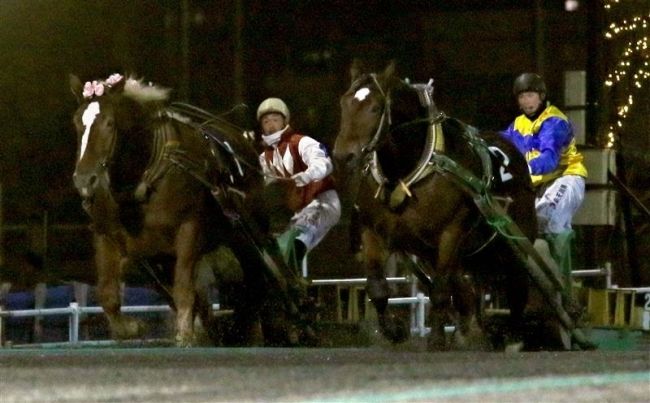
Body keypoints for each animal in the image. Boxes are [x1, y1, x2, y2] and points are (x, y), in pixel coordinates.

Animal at [71, 73, 294, 348]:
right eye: (77, 123)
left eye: (110, 123)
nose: (84, 179)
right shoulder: (107, 238)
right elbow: (108, 294)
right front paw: (131, 328)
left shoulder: (189, 231)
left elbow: (184, 289)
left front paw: (185, 335)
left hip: (243, 238)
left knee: (255, 283)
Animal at [332, 63, 540, 350]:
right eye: (344, 104)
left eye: (375, 108)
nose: (344, 155)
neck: (407, 171)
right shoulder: (372, 231)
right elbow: (377, 288)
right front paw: (394, 331)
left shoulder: (451, 233)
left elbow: (441, 289)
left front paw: (437, 338)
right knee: (466, 293)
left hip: (514, 240)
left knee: (516, 283)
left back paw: (513, 338)